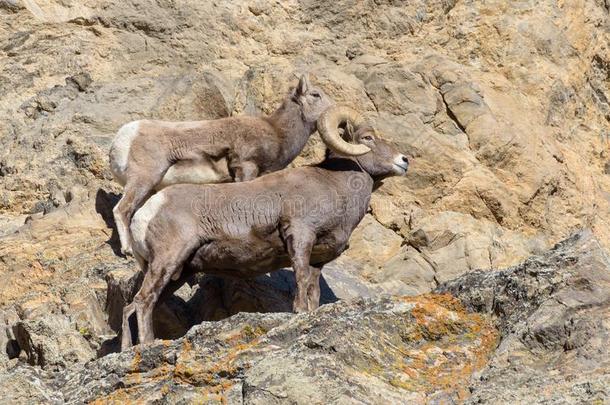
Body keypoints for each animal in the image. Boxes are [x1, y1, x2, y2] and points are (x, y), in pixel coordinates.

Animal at [107, 74, 330, 254]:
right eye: (315, 95)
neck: (277, 132)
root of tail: (124, 137)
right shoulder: (246, 168)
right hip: (144, 180)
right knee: (121, 209)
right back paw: (127, 250)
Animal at [121, 105, 408, 348]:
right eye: (368, 138)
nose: (404, 160)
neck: (334, 186)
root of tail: (146, 213)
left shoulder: (318, 260)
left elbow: (313, 290)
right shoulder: (300, 235)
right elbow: (300, 278)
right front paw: (299, 312)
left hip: (177, 272)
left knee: (132, 306)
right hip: (167, 260)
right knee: (143, 301)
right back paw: (147, 344)